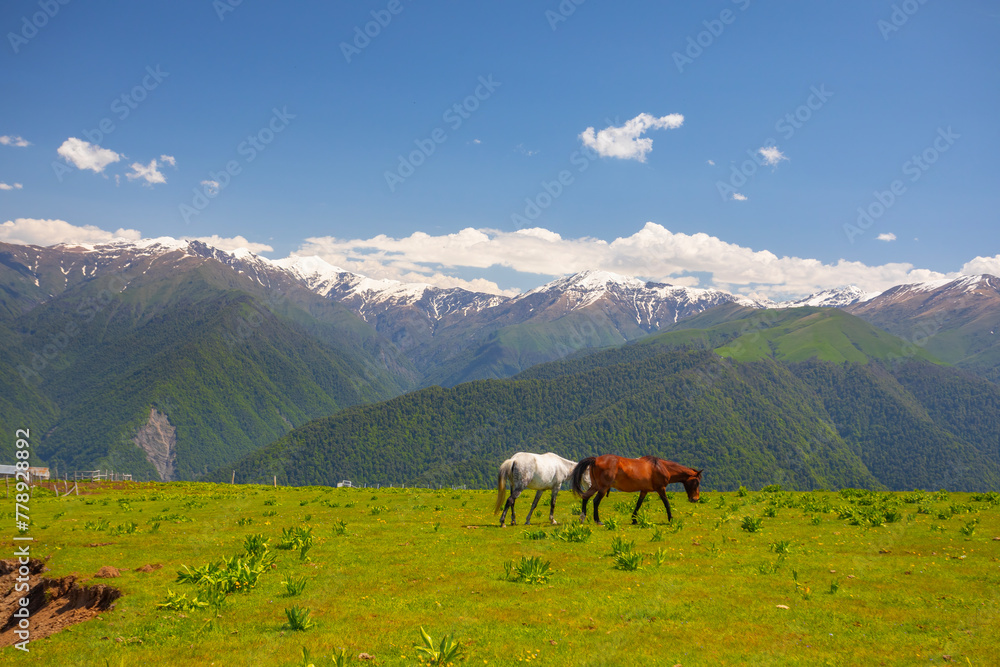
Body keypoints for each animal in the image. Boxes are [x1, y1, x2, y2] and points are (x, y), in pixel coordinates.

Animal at [572, 456, 704, 524]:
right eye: (696, 482)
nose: (695, 499)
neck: (662, 467)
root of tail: (596, 459)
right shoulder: (661, 488)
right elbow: (666, 503)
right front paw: (670, 518)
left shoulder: (644, 490)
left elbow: (638, 504)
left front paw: (634, 519)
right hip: (603, 488)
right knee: (595, 501)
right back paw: (598, 520)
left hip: (595, 486)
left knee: (585, 497)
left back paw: (582, 518)